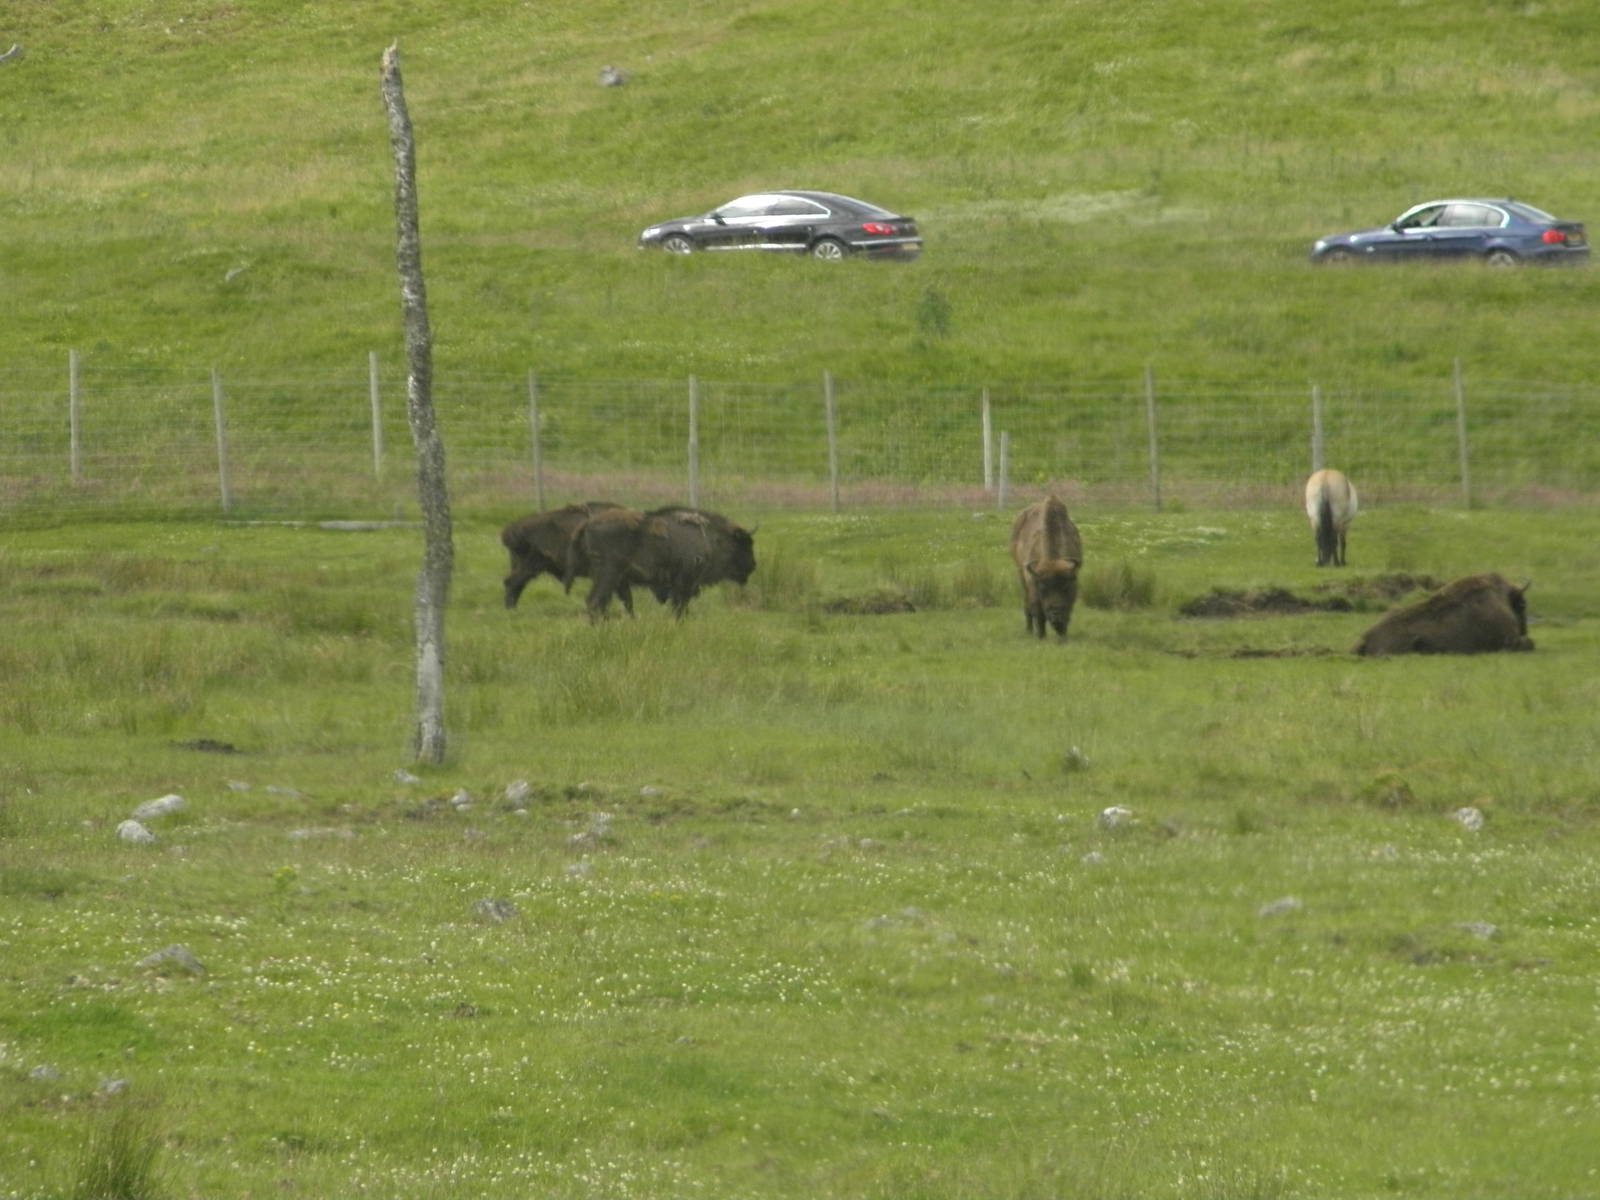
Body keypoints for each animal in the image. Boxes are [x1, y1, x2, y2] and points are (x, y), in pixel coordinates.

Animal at [568, 505, 756, 620]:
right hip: (608, 575)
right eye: (744, 544)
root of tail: (588, 523)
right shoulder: (684, 584)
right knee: (595, 601)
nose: (753, 565)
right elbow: (680, 608)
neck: (710, 538)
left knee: (601, 603)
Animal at [1010, 495, 1084, 639]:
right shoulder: (1033, 583)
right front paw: (1041, 636)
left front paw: (1063, 636)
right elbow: (1038, 613)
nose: (1056, 616)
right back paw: (1029, 630)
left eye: (1066, 587)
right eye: (1043, 588)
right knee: (1027, 605)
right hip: (1021, 574)